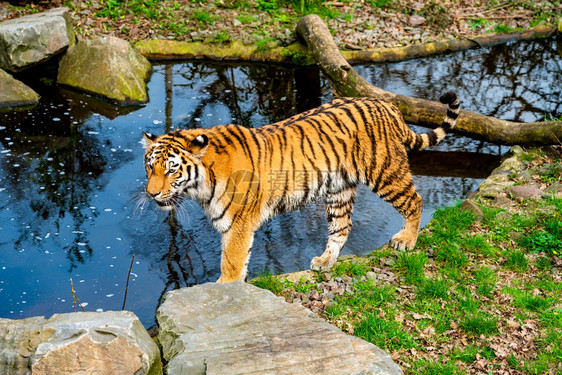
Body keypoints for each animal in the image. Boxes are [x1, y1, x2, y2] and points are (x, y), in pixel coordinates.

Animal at [142, 92, 458, 284]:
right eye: (150, 166)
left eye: (171, 169)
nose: (152, 193)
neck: (201, 186)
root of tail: (387, 105)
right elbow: (237, 262)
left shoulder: (239, 225)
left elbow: (231, 262)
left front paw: (225, 288)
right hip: (339, 190)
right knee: (342, 226)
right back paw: (325, 261)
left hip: (384, 172)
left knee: (415, 200)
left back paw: (406, 240)